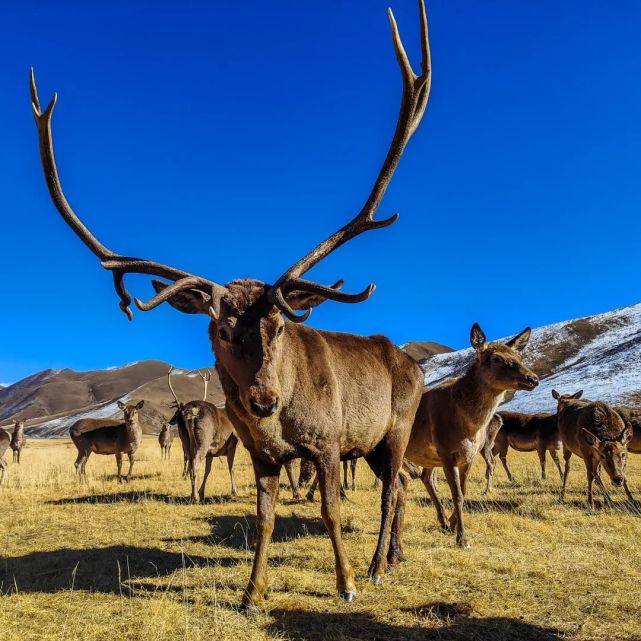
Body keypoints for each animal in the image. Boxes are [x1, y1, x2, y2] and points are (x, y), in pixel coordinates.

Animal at [30, 0, 430, 608]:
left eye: (279, 325)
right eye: (218, 328)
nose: (263, 400)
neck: (282, 421)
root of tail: (414, 364)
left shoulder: (329, 443)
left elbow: (331, 513)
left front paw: (345, 585)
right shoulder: (262, 453)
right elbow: (262, 517)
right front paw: (251, 593)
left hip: (397, 426)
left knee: (391, 491)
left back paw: (376, 566)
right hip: (378, 443)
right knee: (401, 485)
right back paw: (394, 556)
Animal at [404, 324, 536, 544]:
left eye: (519, 356)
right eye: (496, 358)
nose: (533, 378)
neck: (469, 428)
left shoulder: (469, 455)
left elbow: (463, 492)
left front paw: (453, 524)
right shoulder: (446, 451)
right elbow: (457, 494)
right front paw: (462, 538)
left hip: (428, 455)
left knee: (426, 477)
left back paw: (443, 521)